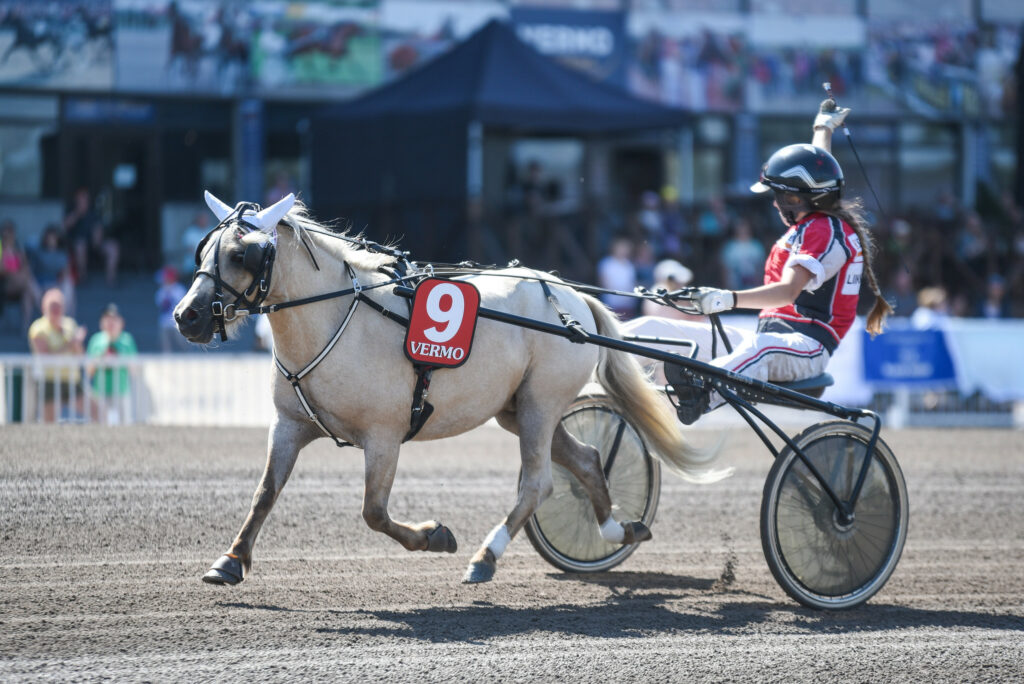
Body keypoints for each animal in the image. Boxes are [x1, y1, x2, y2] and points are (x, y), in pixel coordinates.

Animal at [176, 191, 720, 581]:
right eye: (203, 249)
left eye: (243, 254)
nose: (187, 316)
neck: (337, 316)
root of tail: (572, 296)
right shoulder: (289, 424)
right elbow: (265, 493)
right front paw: (230, 560)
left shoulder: (384, 436)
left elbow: (374, 512)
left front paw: (433, 536)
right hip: (515, 409)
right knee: (586, 459)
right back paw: (614, 527)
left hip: (542, 403)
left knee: (539, 483)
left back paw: (486, 556)